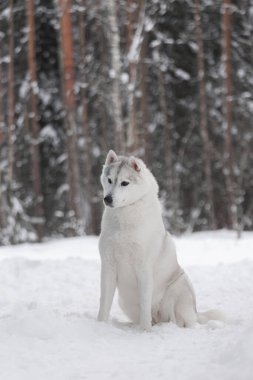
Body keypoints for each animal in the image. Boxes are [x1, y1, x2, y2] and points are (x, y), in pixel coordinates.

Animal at [98, 151, 222, 330]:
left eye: (124, 183)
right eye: (109, 180)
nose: (107, 199)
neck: (124, 217)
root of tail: (196, 313)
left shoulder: (143, 268)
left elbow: (145, 305)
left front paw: (144, 331)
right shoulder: (108, 266)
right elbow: (104, 303)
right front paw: (99, 325)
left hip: (176, 289)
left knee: (177, 321)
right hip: (125, 302)